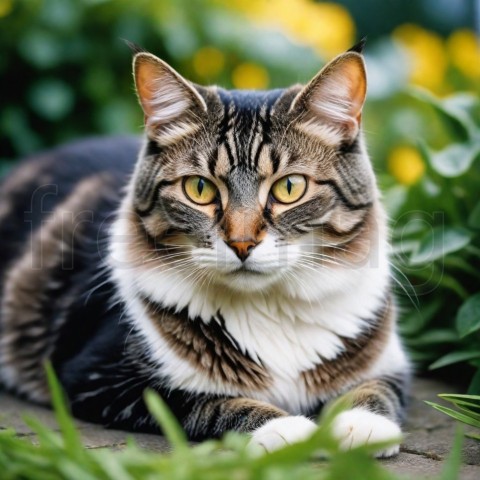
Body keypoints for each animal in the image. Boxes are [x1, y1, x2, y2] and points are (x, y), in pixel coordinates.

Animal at [0, 41, 408, 458]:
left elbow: (374, 390)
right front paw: (287, 429)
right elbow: (213, 402)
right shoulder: (100, 376)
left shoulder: (389, 362)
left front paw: (362, 426)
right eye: (199, 189)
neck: (269, 306)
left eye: (289, 187)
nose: (242, 243)